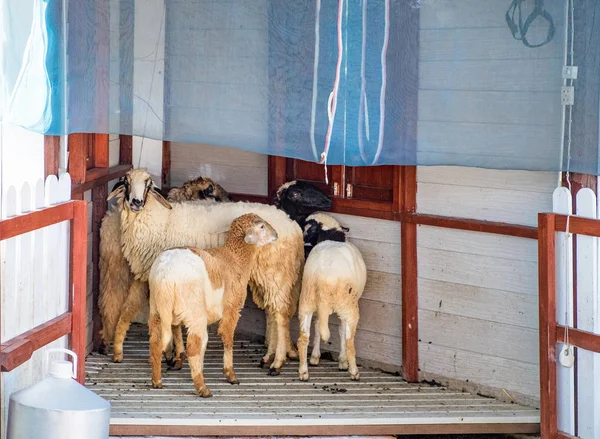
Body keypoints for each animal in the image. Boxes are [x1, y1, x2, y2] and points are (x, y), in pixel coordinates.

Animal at [109, 168, 304, 374]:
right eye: (127, 182)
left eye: (148, 184)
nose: (136, 202)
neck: (160, 219)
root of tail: (293, 226)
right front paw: (172, 354)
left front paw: (175, 356)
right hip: (267, 276)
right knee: (272, 313)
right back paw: (268, 357)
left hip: (276, 272)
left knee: (280, 316)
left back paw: (277, 362)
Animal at [148, 211, 278, 398]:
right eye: (261, 226)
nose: (276, 235)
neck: (234, 258)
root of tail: (165, 276)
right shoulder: (232, 307)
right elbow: (227, 339)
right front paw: (230, 375)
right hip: (195, 311)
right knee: (194, 347)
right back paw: (203, 388)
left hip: (156, 309)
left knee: (156, 342)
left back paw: (157, 381)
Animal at [296, 213, 366, 382]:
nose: (305, 245)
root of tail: (323, 276)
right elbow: (341, 331)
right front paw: (342, 361)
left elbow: (317, 326)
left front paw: (315, 357)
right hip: (349, 306)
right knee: (349, 341)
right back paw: (354, 372)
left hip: (306, 302)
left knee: (303, 338)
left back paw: (303, 372)